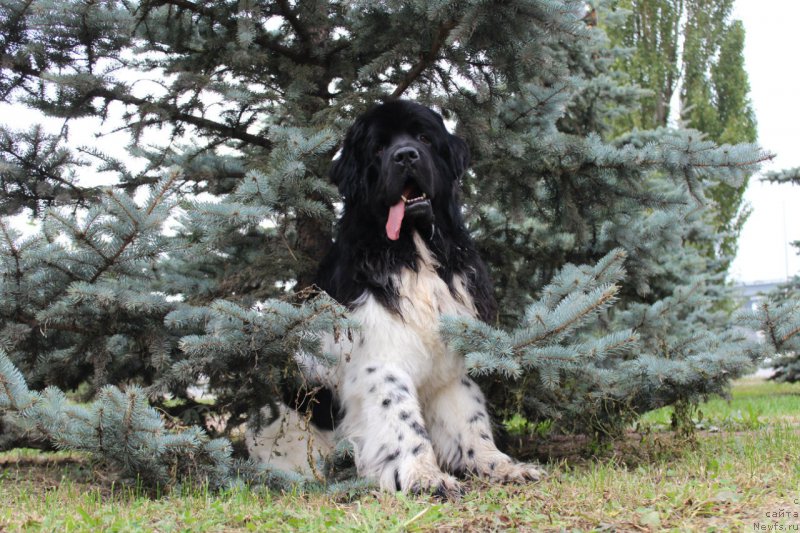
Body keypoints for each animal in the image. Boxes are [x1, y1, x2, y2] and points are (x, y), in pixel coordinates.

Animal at [247, 101, 540, 498]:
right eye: (379, 148)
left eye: (423, 138)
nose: (405, 156)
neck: (413, 251)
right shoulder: (380, 361)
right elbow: (400, 417)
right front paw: (424, 476)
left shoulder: (448, 362)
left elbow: (469, 418)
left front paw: (499, 465)